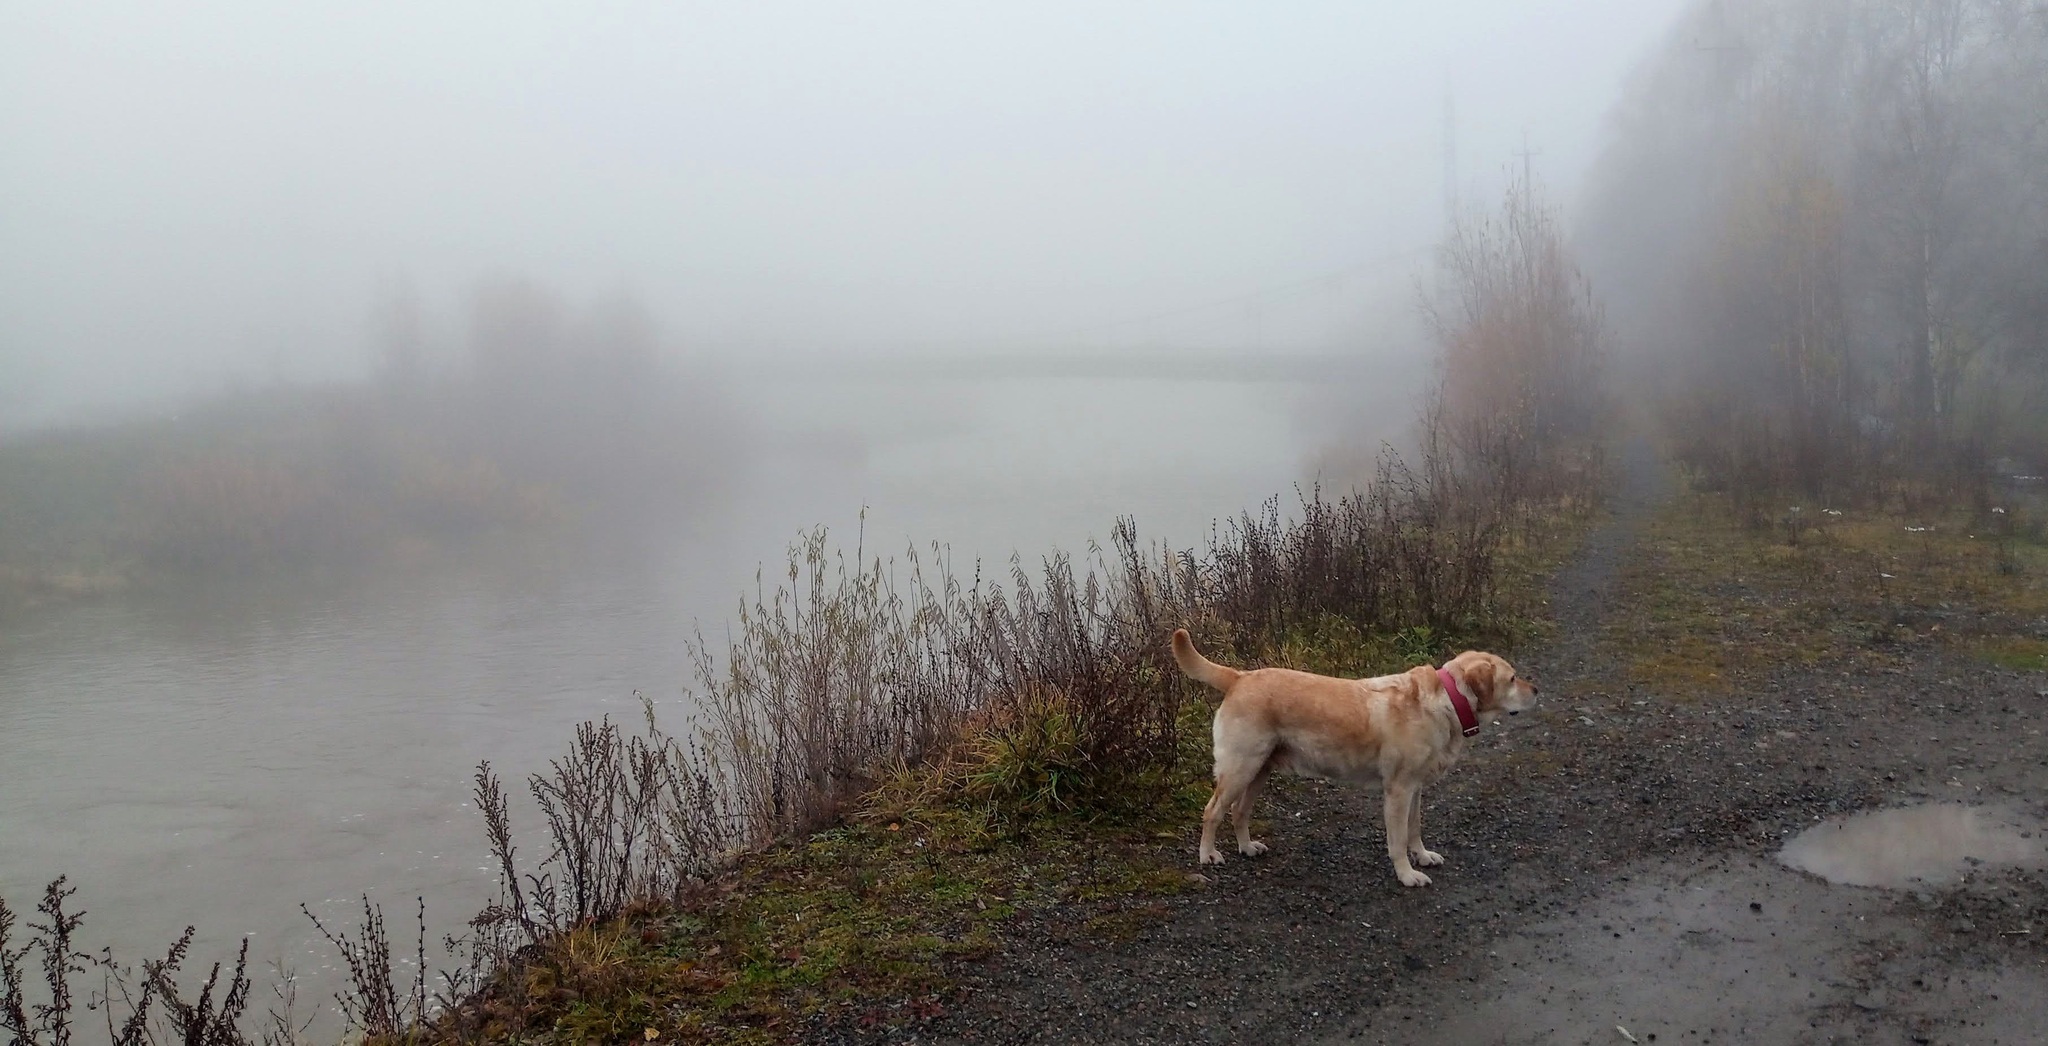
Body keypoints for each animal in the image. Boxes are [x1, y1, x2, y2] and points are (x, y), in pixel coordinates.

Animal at [1171, 626, 1540, 888]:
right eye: (1512, 678)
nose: (1537, 690)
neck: (1446, 701)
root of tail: (1240, 677)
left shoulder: (1416, 788)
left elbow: (1415, 828)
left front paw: (1421, 856)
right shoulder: (1398, 790)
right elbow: (1397, 839)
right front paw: (1407, 874)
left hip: (1260, 769)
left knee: (1239, 811)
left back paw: (1247, 847)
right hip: (1241, 767)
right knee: (1213, 811)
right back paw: (1208, 854)